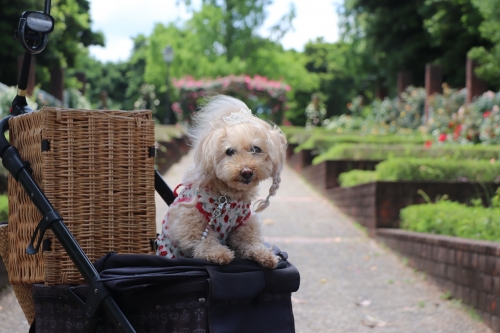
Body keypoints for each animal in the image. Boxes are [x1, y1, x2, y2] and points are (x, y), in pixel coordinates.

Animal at [156, 94, 290, 268]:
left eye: (256, 149)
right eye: (229, 151)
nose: (246, 171)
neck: (227, 196)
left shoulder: (244, 224)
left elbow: (250, 242)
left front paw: (265, 255)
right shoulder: (190, 223)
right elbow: (204, 242)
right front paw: (220, 254)